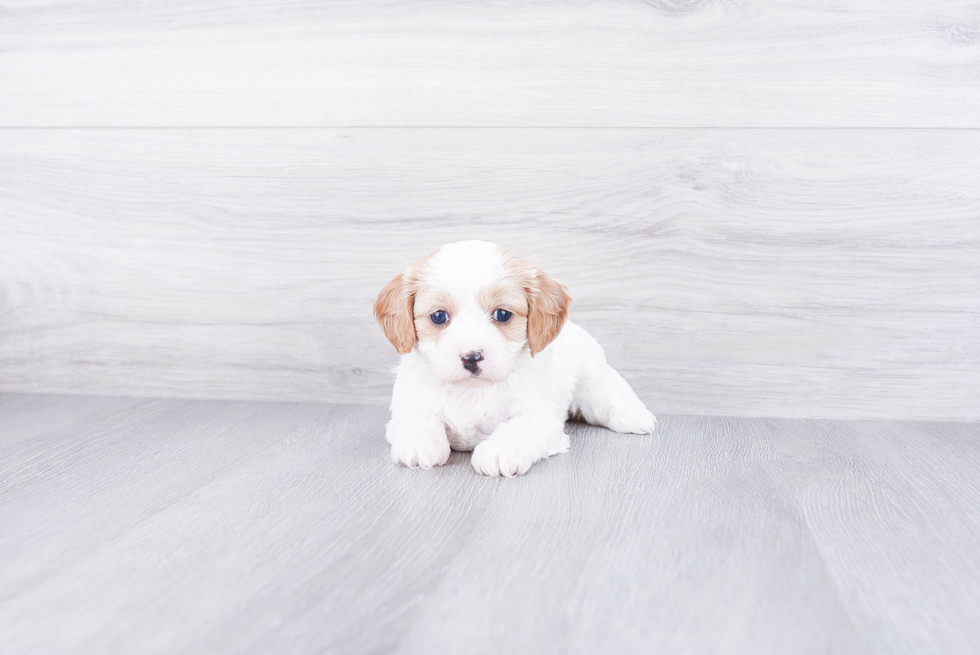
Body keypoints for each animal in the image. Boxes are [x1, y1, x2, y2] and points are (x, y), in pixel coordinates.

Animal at [372, 241, 656, 476]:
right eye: (439, 316)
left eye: (503, 314)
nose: (471, 357)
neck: (471, 391)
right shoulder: (409, 404)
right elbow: (419, 419)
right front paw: (419, 443)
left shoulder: (539, 415)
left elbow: (517, 428)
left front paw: (499, 452)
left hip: (591, 380)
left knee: (608, 398)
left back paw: (634, 416)